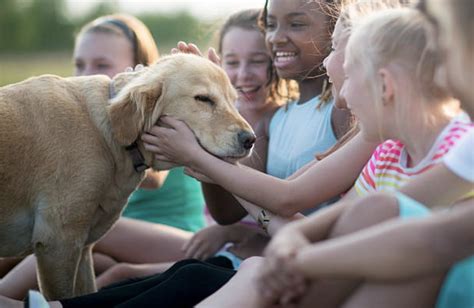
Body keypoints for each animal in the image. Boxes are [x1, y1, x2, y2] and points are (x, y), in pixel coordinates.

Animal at [0, 53, 256, 298]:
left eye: (234, 100)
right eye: (203, 99)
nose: (250, 139)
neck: (109, 134)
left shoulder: (80, 248)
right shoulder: (58, 243)